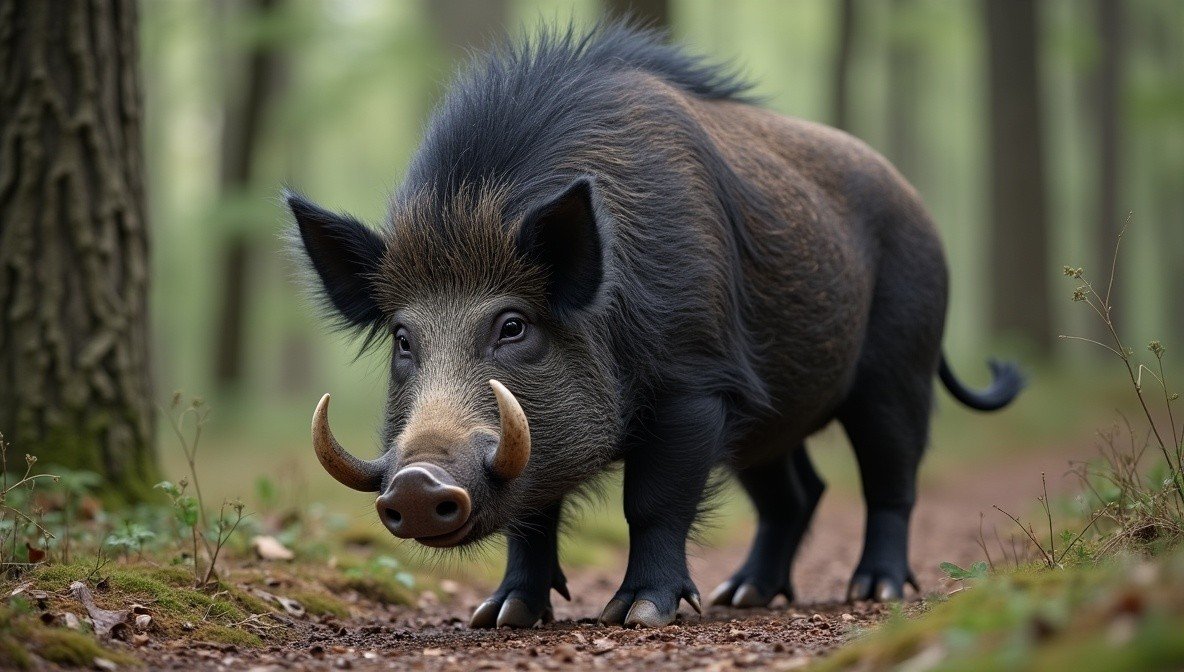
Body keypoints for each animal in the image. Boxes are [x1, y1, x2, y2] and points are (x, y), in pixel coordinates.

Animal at [287, 23, 1023, 629]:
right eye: (403, 339)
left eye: (513, 325)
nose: (415, 483)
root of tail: (919, 206)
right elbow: (532, 516)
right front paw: (497, 618)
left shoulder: (693, 384)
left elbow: (652, 501)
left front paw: (639, 614)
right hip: (763, 419)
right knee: (796, 494)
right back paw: (742, 596)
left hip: (900, 364)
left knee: (890, 477)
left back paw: (875, 591)